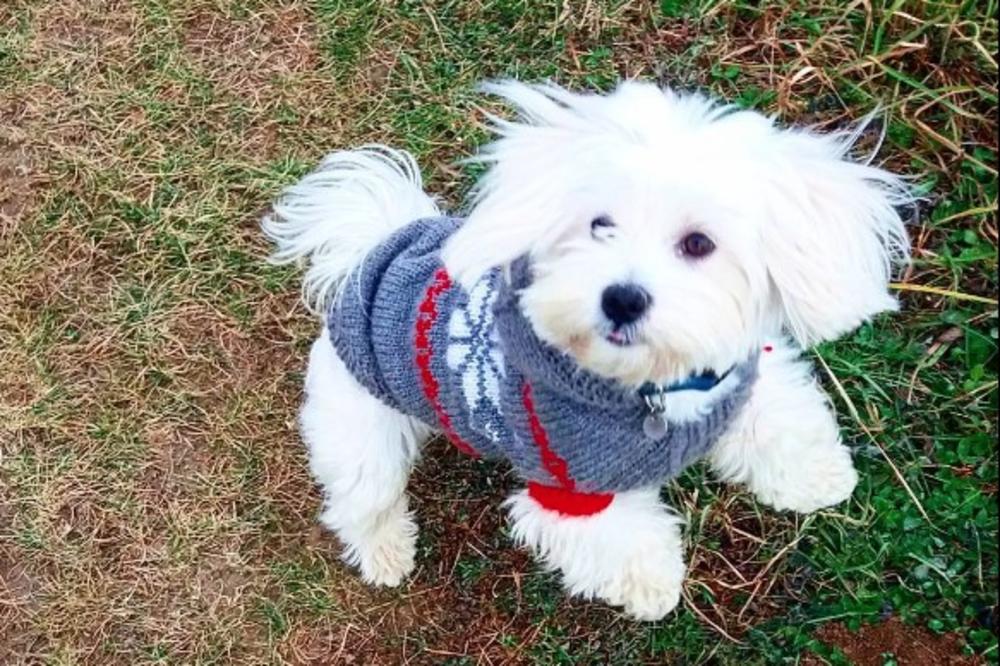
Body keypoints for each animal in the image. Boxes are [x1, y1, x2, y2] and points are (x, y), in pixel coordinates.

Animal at [262, 81, 912, 616]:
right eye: (600, 225)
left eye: (699, 243)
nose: (622, 298)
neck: (648, 386)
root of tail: (372, 252)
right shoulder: (569, 488)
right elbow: (623, 540)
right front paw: (655, 585)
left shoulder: (736, 382)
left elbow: (781, 419)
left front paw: (818, 477)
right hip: (360, 427)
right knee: (360, 499)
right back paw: (386, 552)